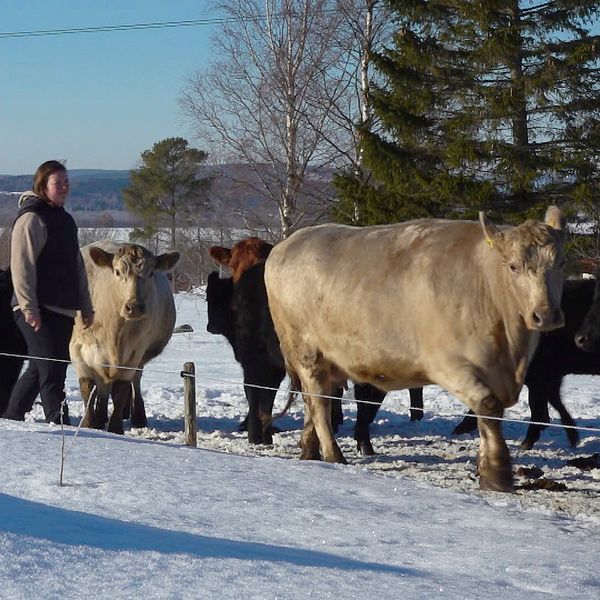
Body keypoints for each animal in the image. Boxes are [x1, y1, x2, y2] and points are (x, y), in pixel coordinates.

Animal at [264, 209, 564, 490]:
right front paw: (497, 473)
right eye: (513, 267)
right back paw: (333, 454)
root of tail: (288, 243)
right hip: (305, 350)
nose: (545, 315)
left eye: (559, 263)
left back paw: (309, 449)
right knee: (319, 402)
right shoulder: (448, 364)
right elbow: (488, 407)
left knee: (311, 401)